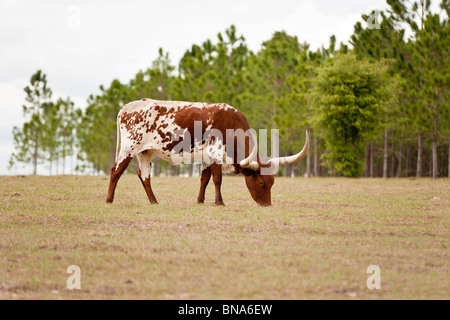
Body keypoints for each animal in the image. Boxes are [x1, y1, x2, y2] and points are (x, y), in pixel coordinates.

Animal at [106, 99, 310, 206]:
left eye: (272, 182)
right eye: (260, 182)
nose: (266, 204)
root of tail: (126, 107)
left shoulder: (206, 158)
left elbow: (204, 179)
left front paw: (200, 201)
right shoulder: (216, 155)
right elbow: (217, 180)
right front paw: (220, 202)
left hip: (145, 152)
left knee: (144, 176)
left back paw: (154, 201)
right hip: (129, 148)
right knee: (116, 170)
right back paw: (109, 199)